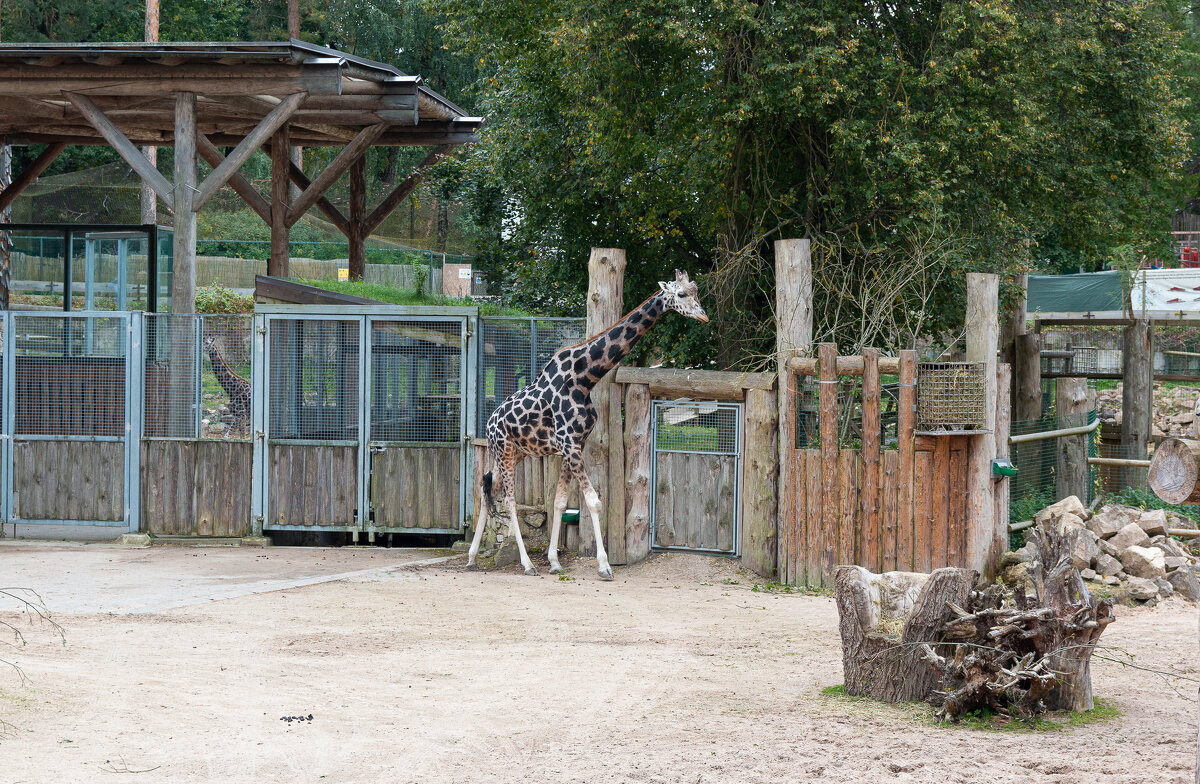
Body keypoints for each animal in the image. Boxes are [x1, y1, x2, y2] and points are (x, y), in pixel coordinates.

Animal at [465, 272, 710, 578]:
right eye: (681, 295)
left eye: (696, 291)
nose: (704, 316)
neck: (585, 378)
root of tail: (488, 424)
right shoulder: (569, 443)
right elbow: (593, 501)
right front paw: (604, 566)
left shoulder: (574, 444)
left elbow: (559, 502)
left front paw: (555, 562)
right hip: (504, 451)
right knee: (509, 499)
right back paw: (527, 564)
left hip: (513, 453)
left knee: (487, 488)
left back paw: (472, 558)